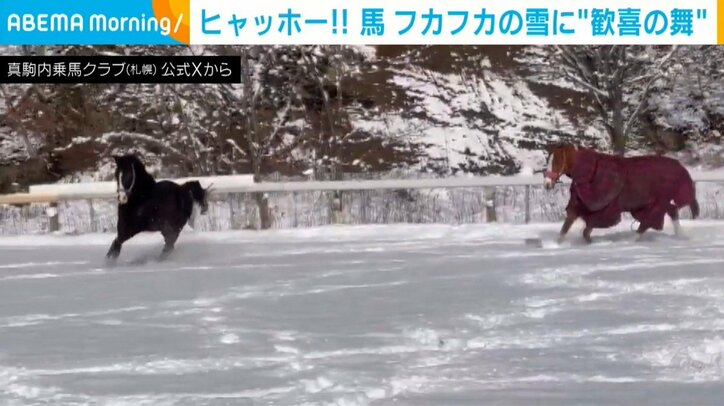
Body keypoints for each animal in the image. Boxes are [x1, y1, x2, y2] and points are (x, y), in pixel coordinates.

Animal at [543, 143, 699, 244]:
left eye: (557, 161)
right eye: (548, 160)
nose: (547, 184)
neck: (588, 172)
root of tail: (681, 166)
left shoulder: (602, 210)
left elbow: (586, 233)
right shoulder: (579, 205)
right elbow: (565, 228)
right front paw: (558, 244)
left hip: (660, 201)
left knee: (648, 221)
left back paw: (633, 240)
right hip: (659, 203)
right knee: (671, 213)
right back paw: (679, 236)